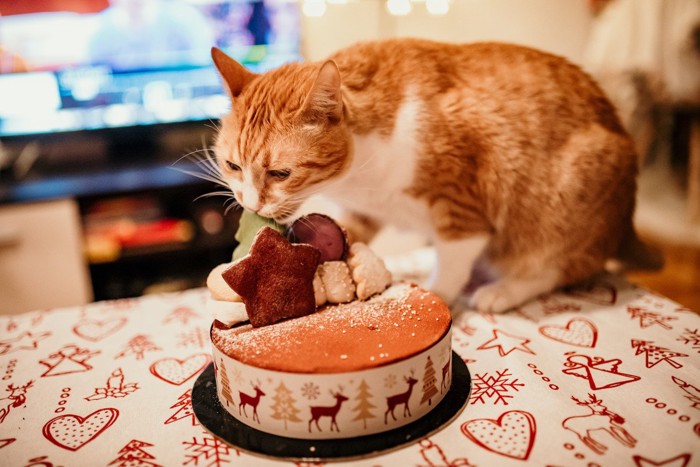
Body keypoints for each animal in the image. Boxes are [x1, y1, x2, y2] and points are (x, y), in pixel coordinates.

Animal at [209, 37, 660, 314]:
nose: (248, 202)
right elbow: (344, 237)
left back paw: (501, 291)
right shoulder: (364, 212)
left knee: (556, 265)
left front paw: (437, 295)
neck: (359, 175)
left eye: (280, 173)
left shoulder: (462, 211)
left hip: (570, 201)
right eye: (233, 166)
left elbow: (452, 263)